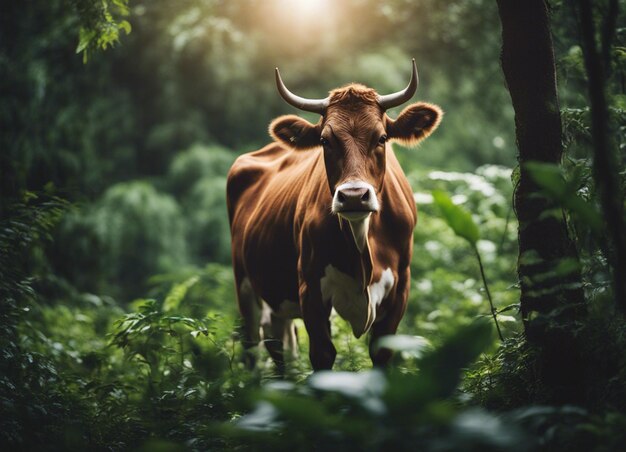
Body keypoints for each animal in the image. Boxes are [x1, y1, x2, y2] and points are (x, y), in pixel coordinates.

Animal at [225, 60, 438, 370]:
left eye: (382, 137)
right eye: (325, 140)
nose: (353, 195)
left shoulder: (400, 289)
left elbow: (382, 352)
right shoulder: (310, 290)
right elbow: (323, 355)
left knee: (279, 343)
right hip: (244, 283)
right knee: (254, 347)